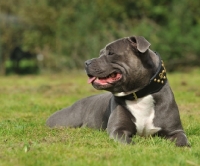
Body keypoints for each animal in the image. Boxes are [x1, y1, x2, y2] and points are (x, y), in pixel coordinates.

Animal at [46, 35, 190, 147]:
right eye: (100, 53)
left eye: (111, 53)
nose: (86, 62)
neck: (139, 96)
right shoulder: (118, 130)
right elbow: (128, 143)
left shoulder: (175, 131)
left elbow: (182, 141)